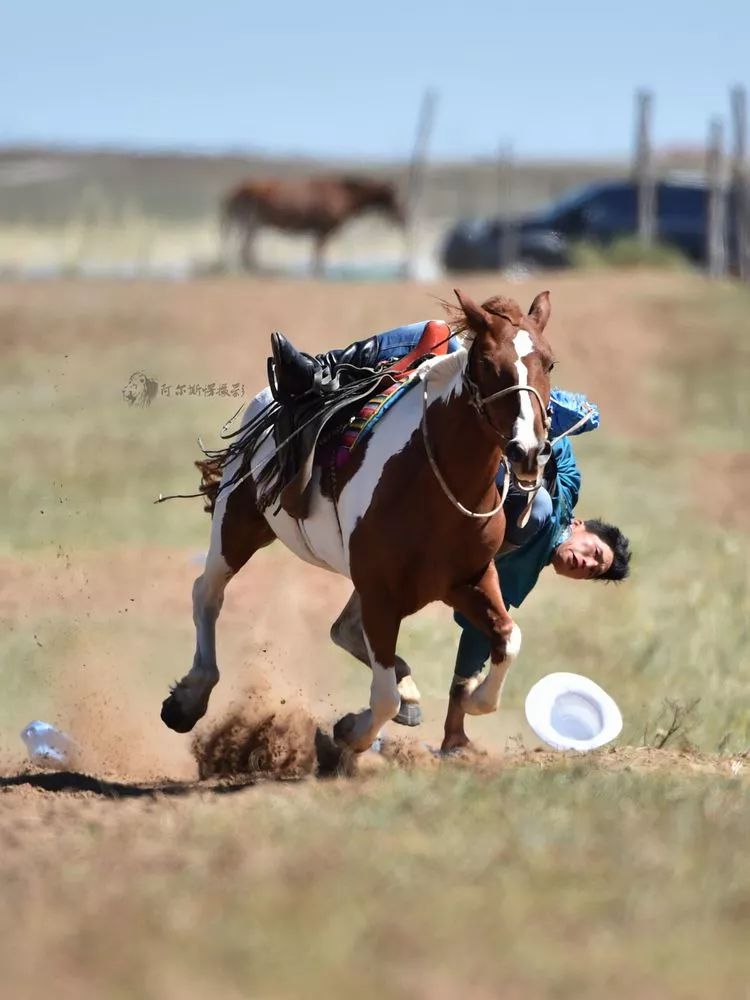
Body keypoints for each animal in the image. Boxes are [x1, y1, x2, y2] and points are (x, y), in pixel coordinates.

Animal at [160, 292, 560, 752]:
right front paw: (351, 732)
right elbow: (382, 696)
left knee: (342, 629)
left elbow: (508, 640)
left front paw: (473, 696)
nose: (528, 451)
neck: (432, 480)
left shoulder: (469, 580)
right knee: (208, 594)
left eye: (549, 363)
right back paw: (189, 698)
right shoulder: (380, 593)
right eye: (489, 365)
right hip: (237, 523)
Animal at [219, 176, 406, 276]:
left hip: (251, 225)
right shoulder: (323, 230)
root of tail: (235, 191)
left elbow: (315, 254)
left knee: (245, 248)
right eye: (393, 199)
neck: (343, 194)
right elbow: (319, 255)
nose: (403, 219)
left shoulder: (318, 231)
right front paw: (318, 275)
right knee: (246, 248)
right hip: (251, 223)